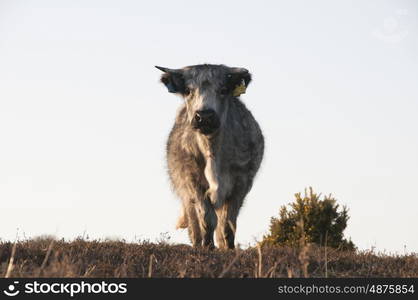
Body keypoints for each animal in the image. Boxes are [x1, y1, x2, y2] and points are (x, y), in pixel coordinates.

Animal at [157, 63, 264, 248]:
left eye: (223, 90)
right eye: (188, 90)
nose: (204, 116)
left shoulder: (241, 183)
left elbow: (228, 224)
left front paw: (229, 249)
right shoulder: (193, 182)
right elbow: (207, 218)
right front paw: (207, 247)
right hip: (186, 194)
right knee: (195, 226)